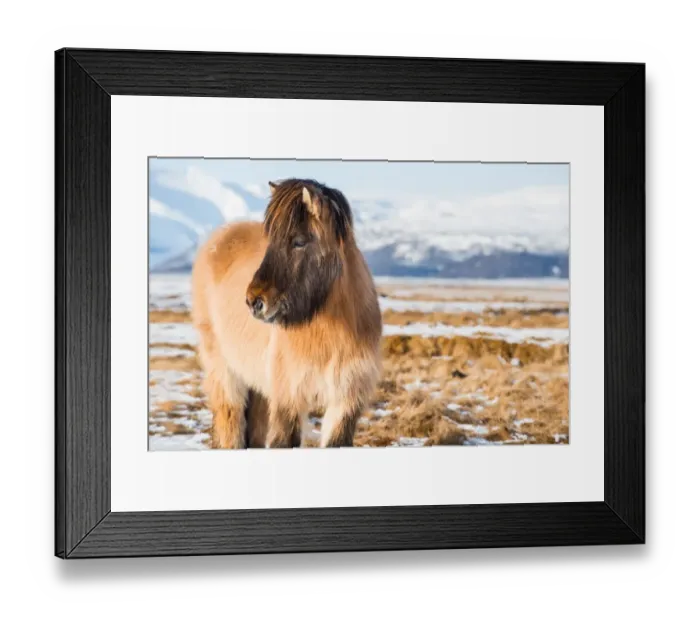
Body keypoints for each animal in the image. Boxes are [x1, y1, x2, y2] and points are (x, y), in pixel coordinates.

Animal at [191, 178, 383, 449]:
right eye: (271, 241)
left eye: (299, 241)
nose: (254, 301)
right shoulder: (289, 398)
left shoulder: (345, 402)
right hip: (225, 371)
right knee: (231, 424)